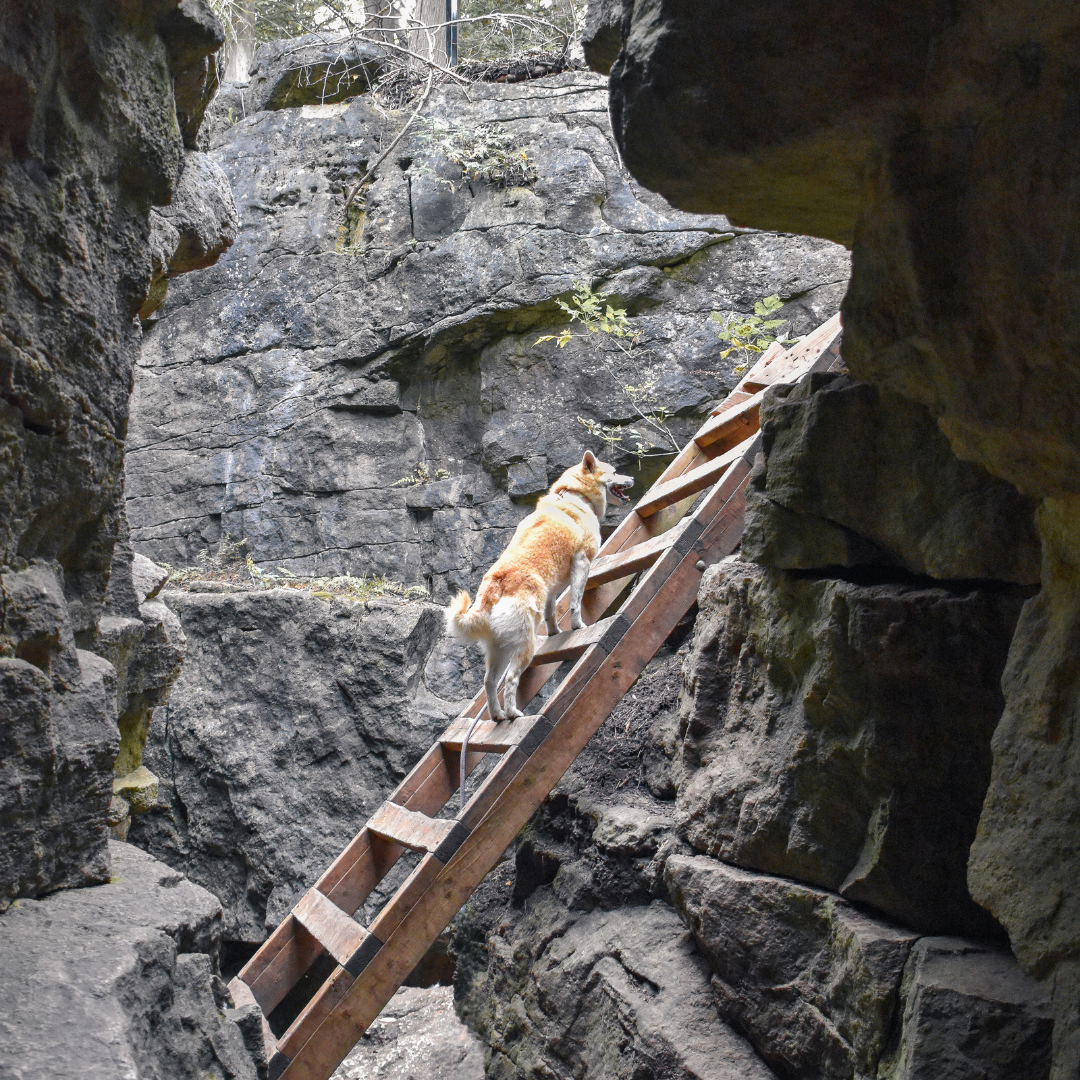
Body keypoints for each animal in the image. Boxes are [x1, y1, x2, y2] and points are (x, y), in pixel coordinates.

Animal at [444, 451, 630, 721]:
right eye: (615, 472)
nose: (632, 478)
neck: (575, 497)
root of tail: (494, 584)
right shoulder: (581, 563)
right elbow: (575, 603)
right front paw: (578, 626)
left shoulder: (551, 589)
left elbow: (552, 613)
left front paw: (555, 632)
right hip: (524, 645)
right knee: (510, 680)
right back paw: (513, 713)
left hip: (499, 649)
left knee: (490, 683)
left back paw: (498, 715)